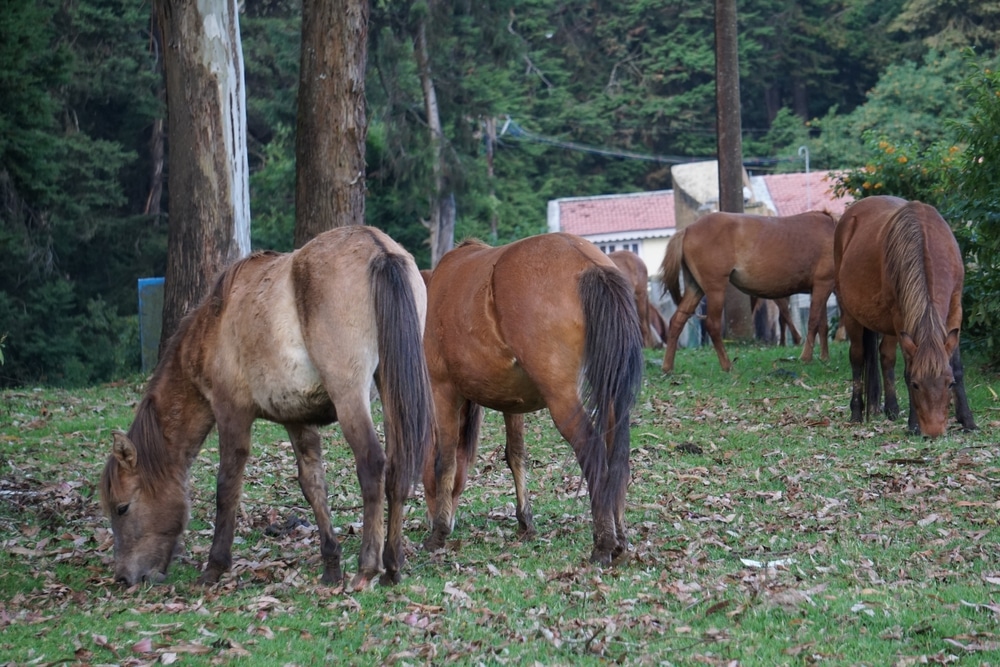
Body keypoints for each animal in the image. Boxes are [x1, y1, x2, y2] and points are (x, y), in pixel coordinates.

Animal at [97, 226, 434, 588]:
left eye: (122, 508)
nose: (124, 577)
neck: (215, 322)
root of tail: (378, 247)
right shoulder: (297, 420)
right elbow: (312, 485)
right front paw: (331, 564)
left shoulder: (232, 415)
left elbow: (226, 487)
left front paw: (215, 566)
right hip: (392, 390)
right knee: (397, 469)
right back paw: (392, 565)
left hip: (350, 397)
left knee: (372, 465)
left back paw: (367, 567)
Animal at [420, 232, 640, 568]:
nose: (435, 517)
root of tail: (588, 263)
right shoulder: (513, 402)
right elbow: (516, 455)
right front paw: (525, 521)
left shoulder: (443, 389)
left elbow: (444, 461)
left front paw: (439, 533)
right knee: (616, 456)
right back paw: (619, 538)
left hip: (562, 398)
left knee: (592, 450)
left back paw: (603, 543)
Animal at [656, 211, 836, 374]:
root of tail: (687, 230)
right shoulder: (823, 285)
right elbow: (813, 321)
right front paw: (806, 357)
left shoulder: (820, 289)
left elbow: (823, 325)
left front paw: (825, 358)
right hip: (715, 290)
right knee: (712, 325)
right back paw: (727, 365)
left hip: (695, 289)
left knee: (677, 321)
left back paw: (667, 367)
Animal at [832, 197, 972, 438]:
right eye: (916, 385)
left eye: (949, 383)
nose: (934, 430)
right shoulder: (899, 316)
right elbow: (906, 369)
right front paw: (914, 424)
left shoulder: (955, 308)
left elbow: (957, 366)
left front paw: (968, 421)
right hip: (852, 314)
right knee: (857, 357)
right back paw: (857, 411)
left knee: (886, 357)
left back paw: (891, 409)